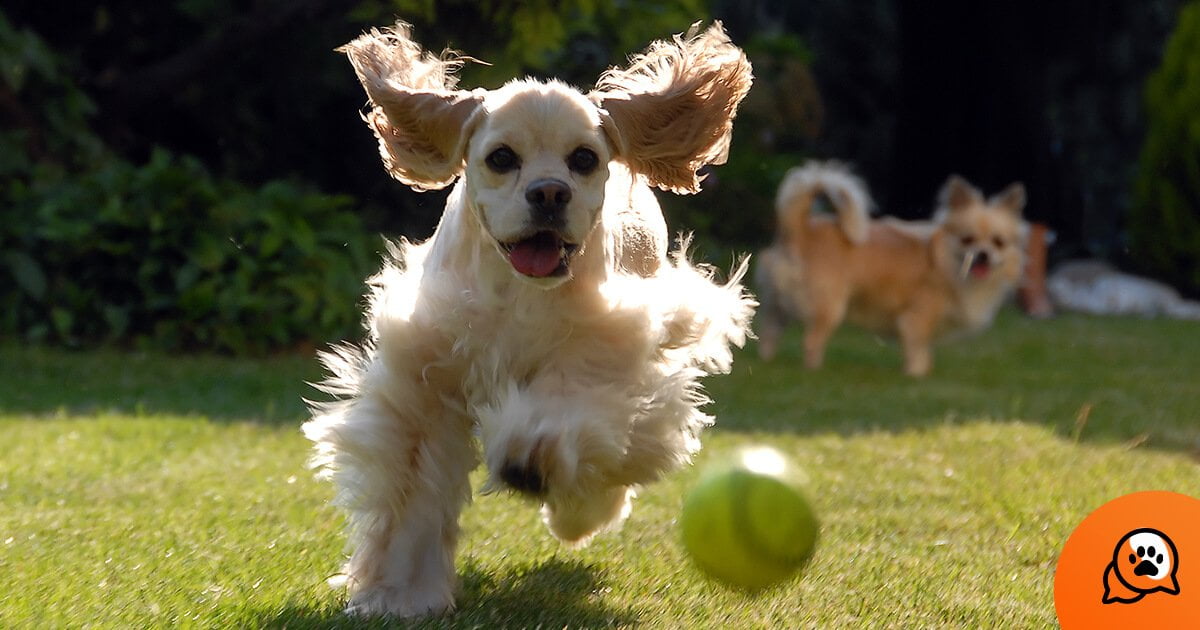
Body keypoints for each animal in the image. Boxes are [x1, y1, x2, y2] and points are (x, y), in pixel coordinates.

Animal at [307, 22, 758, 614]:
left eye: (584, 159)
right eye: (501, 158)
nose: (548, 192)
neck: (519, 292)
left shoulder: (604, 348)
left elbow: (568, 417)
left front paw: (533, 460)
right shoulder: (428, 378)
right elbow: (414, 493)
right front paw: (398, 594)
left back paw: (576, 511)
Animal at [758, 163, 1022, 379]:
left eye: (999, 242)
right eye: (967, 240)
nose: (983, 254)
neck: (945, 262)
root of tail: (799, 229)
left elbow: (925, 354)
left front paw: (923, 372)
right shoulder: (915, 320)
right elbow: (917, 353)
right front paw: (915, 377)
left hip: (775, 306)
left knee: (769, 335)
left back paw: (768, 363)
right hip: (829, 308)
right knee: (811, 342)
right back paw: (814, 371)